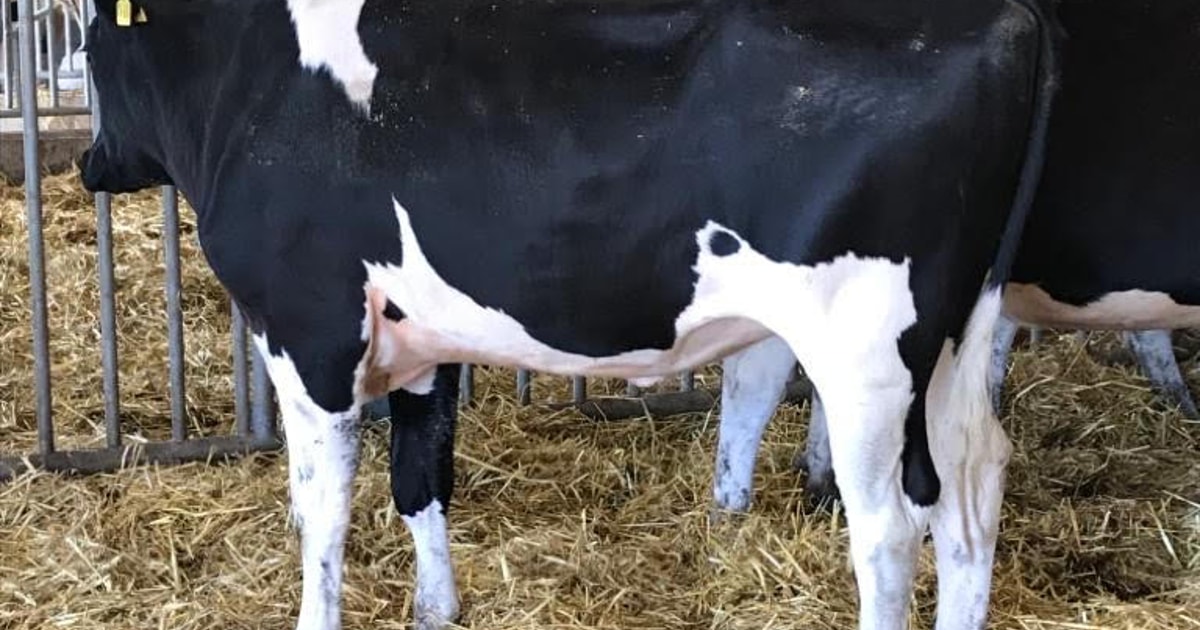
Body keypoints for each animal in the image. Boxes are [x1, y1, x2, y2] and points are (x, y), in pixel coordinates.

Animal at [76, 0, 1058, 629]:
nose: (89, 164)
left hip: (868, 357)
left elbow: (323, 512)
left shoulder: (308, 334)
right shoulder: (421, 341)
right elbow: (419, 479)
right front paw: (437, 611)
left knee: (890, 530)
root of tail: (1009, 23)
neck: (251, 86)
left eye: (89, 41)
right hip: (953, 345)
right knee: (970, 501)